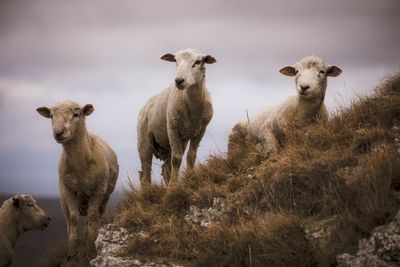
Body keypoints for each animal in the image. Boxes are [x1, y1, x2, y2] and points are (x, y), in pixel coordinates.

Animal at [36, 101, 119, 264]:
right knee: (70, 222)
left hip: (104, 199)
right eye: (51, 115)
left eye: (76, 114)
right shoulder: (68, 191)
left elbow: (92, 219)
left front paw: (91, 251)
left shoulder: (99, 190)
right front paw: (72, 255)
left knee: (95, 218)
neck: (81, 167)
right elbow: (74, 220)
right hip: (63, 201)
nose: (58, 132)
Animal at [139, 48, 217, 186]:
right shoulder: (172, 129)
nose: (179, 80)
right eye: (175, 60)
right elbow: (177, 159)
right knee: (146, 173)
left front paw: (191, 179)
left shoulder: (200, 131)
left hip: (174, 143)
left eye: (198, 62)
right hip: (144, 142)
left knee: (166, 169)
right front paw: (173, 186)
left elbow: (191, 156)